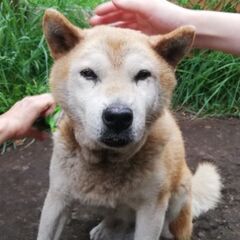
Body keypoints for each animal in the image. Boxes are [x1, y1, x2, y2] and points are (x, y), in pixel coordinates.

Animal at [36, 8, 222, 239]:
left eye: (143, 75)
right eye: (88, 73)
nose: (118, 116)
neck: (107, 163)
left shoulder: (151, 211)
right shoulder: (57, 198)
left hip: (177, 199)